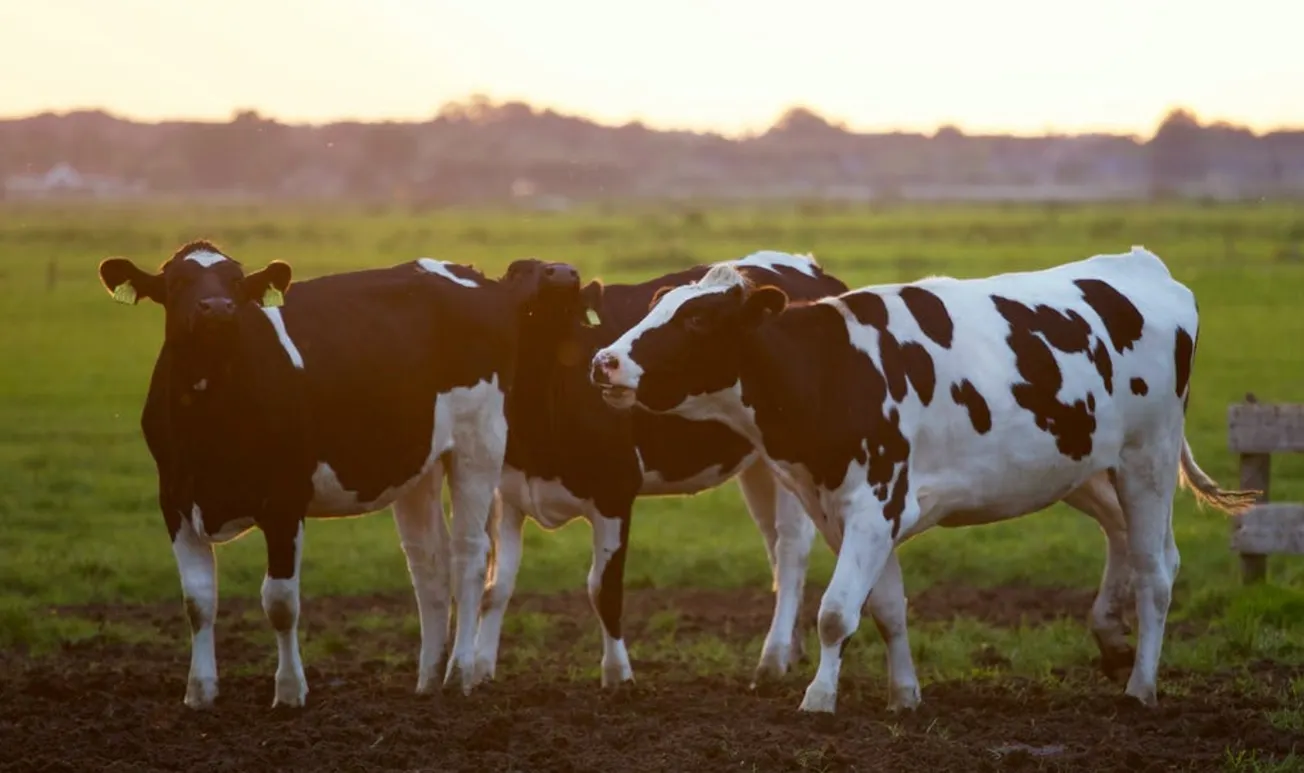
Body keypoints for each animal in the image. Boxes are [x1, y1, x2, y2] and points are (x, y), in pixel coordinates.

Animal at [97, 239, 582, 709]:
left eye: (235, 281)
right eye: (177, 282)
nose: (217, 308)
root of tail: (479, 278)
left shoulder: (285, 500)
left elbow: (280, 601)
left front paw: (290, 691)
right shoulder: (175, 499)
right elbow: (197, 600)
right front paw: (199, 692)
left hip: (478, 443)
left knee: (470, 555)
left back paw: (459, 671)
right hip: (418, 464)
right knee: (429, 563)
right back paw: (428, 678)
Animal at [470, 251, 849, 689]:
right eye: (517, 271)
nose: (563, 273)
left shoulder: (615, 492)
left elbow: (604, 589)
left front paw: (618, 676)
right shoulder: (507, 493)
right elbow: (496, 587)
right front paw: (479, 671)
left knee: (790, 551)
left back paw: (772, 659)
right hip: (760, 465)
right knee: (773, 546)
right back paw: (791, 650)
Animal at [590, 245, 1259, 713]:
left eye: (698, 320)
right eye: (655, 307)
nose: (604, 361)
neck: (832, 368)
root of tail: (1144, 266)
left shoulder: (874, 503)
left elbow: (836, 611)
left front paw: (819, 698)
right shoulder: (848, 511)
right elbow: (885, 607)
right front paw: (904, 695)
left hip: (1148, 458)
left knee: (1156, 571)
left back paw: (1141, 685)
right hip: (1085, 466)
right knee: (1127, 539)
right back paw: (1111, 639)